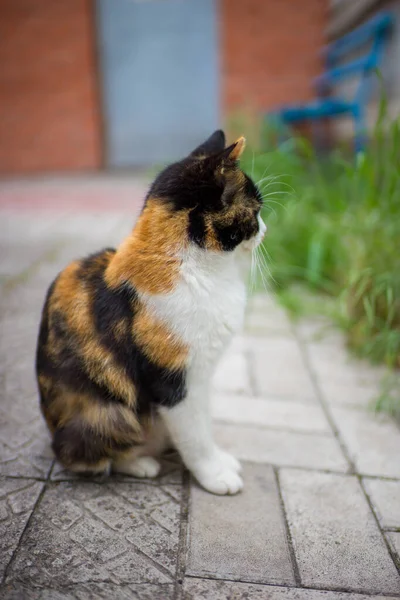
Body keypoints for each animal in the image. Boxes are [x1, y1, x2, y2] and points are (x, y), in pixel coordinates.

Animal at [35, 129, 266, 494]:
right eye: (256, 212)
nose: (266, 229)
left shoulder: (201, 377)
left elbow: (204, 425)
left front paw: (221, 459)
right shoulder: (173, 382)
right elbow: (195, 435)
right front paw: (214, 475)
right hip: (108, 414)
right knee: (85, 457)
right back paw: (141, 463)